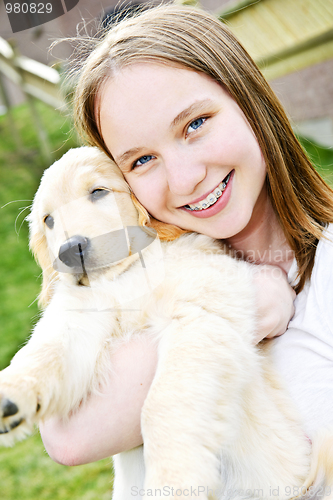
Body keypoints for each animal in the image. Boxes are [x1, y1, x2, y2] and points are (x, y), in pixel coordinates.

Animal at [0, 146, 332, 498]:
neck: (124, 275)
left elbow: (163, 403)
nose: (68, 250)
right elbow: (45, 352)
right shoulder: (77, 316)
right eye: (48, 220)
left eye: (98, 192)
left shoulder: (200, 311)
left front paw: (174, 480)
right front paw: (11, 392)